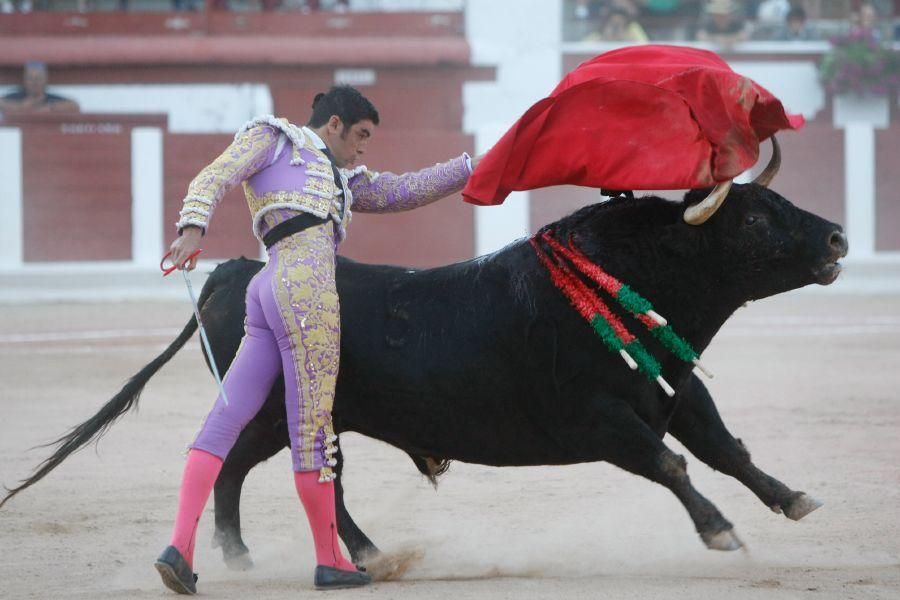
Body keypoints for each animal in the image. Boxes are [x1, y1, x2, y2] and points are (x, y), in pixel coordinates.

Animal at [0, 183, 848, 568]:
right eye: (757, 218)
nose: (839, 235)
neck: (624, 281)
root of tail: (236, 272)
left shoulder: (676, 391)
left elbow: (726, 449)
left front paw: (794, 500)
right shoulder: (600, 419)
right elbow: (671, 464)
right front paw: (720, 532)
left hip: (298, 416)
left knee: (280, 473)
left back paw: (337, 554)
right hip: (277, 410)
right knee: (246, 466)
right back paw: (257, 555)